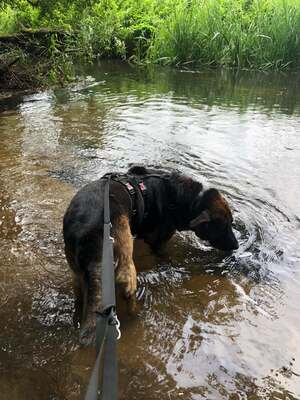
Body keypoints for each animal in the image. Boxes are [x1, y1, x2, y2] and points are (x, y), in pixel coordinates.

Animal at [63, 166, 239, 344]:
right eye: (223, 226)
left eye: (231, 223)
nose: (237, 246)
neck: (190, 200)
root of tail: (91, 237)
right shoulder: (158, 242)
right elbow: (165, 256)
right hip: (127, 267)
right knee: (129, 296)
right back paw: (136, 316)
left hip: (78, 274)